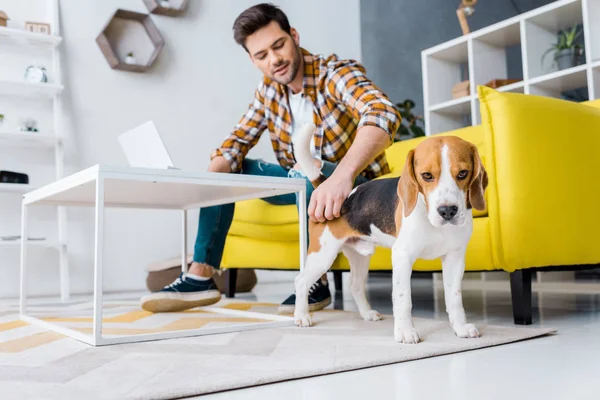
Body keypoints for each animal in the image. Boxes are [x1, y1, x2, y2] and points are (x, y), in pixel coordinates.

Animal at [290, 123, 488, 342]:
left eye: (463, 173)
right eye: (427, 175)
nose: (447, 211)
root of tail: (334, 191)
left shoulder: (455, 258)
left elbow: (454, 298)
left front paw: (460, 328)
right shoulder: (402, 256)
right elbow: (403, 298)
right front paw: (405, 331)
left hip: (360, 257)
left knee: (355, 285)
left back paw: (367, 313)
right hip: (323, 255)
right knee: (301, 281)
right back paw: (301, 316)